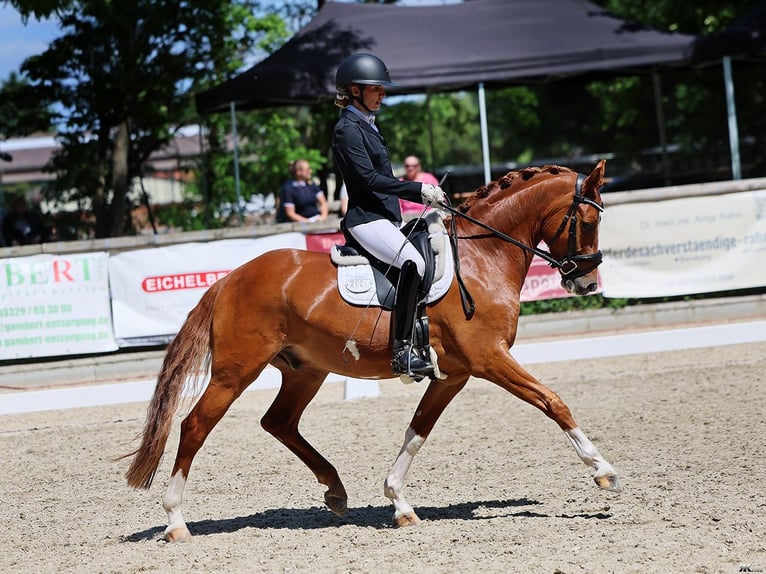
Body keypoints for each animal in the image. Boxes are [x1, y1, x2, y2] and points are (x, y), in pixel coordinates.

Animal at [123, 160, 621, 542]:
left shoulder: (456, 374)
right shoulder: (489, 359)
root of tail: (228, 279)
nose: (586, 283)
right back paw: (175, 521)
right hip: (236, 370)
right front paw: (603, 470)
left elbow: (418, 430)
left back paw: (335, 490)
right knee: (195, 426)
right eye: (589, 222)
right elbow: (552, 401)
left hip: (305, 370)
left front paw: (399, 502)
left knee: (279, 422)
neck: (483, 259)